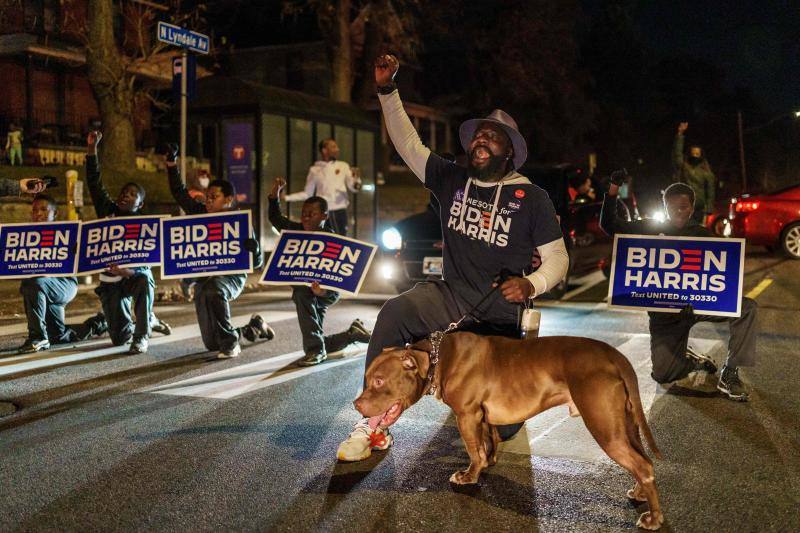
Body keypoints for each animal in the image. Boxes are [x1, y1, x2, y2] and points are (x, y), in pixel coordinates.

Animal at [354, 332, 664, 528]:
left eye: (379, 381)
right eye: (367, 378)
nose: (356, 404)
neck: (438, 358)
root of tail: (614, 355)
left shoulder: (466, 415)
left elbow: (473, 450)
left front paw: (469, 476)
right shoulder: (483, 416)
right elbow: (487, 442)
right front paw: (488, 463)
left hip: (605, 427)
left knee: (642, 465)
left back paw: (653, 519)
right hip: (625, 424)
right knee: (642, 461)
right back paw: (640, 494)